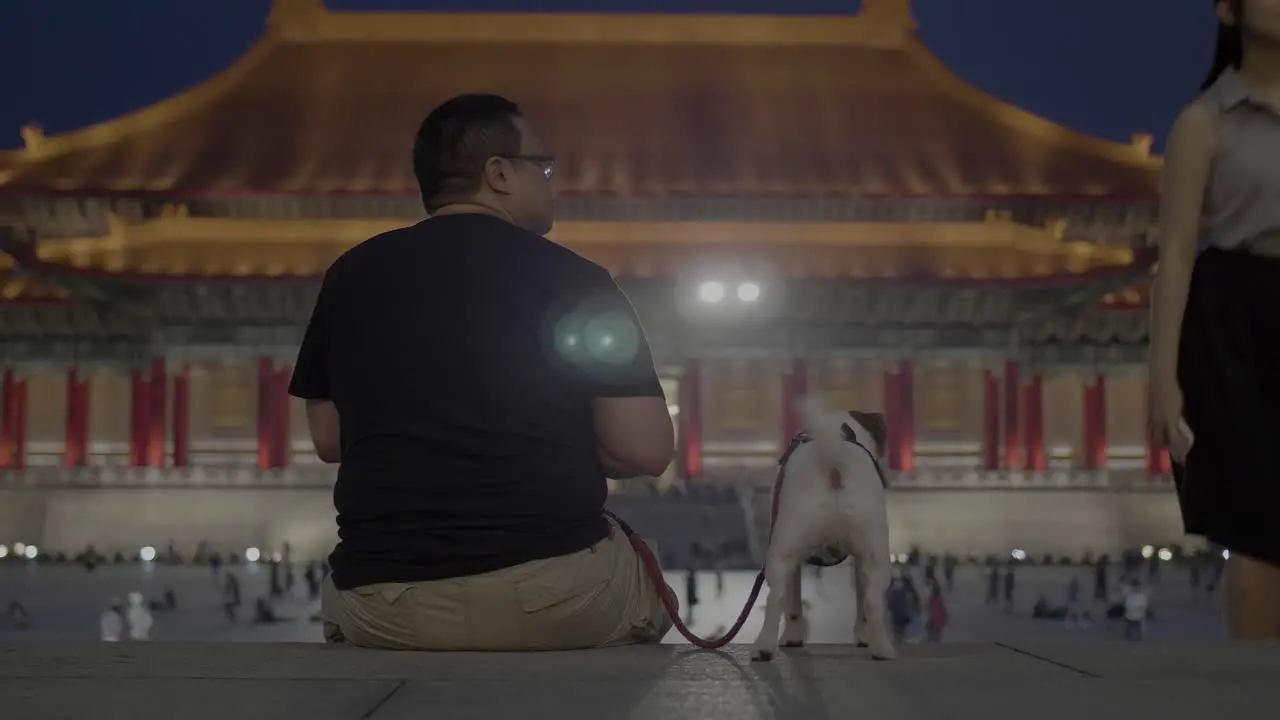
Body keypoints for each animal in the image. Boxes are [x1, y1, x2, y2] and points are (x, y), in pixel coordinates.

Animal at [747, 394, 896, 661]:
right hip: (875, 555)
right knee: (873, 603)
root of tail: (835, 461)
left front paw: (792, 638)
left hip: (783, 550)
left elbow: (793, 604)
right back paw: (881, 647)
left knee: (776, 598)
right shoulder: (860, 559)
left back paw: (763, 646)